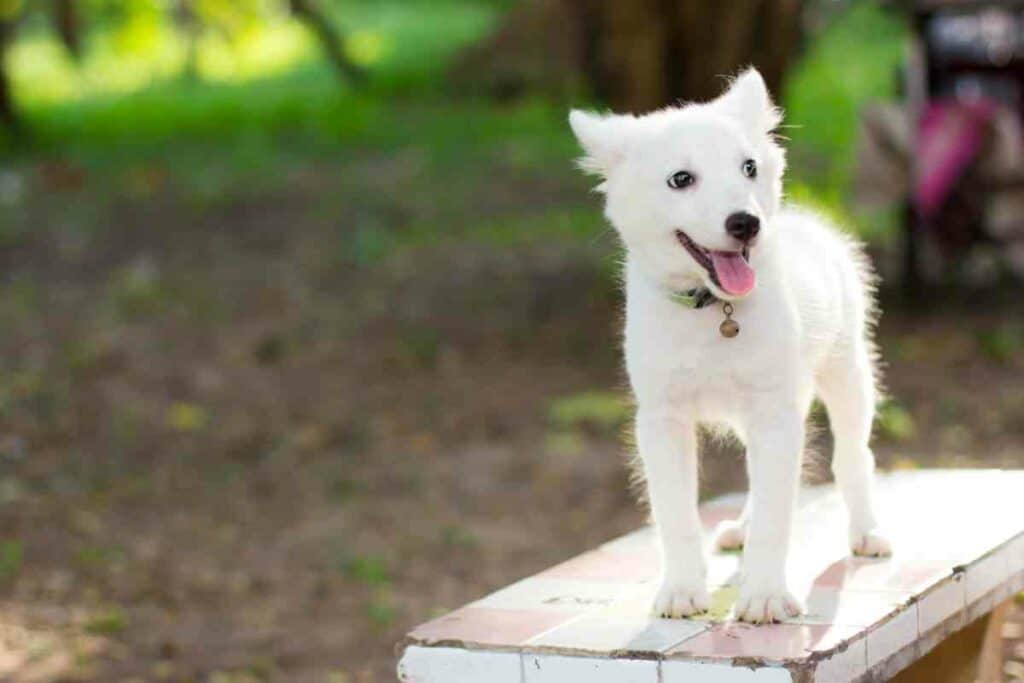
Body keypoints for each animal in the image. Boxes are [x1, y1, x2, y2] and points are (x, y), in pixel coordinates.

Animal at [569, 69, 888, 626]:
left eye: (749, 167)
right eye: (681, 179)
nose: (746, 223)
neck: (711, 308)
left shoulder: (774, 413)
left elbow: (779, 516)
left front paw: (764, 596)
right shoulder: (663, 420)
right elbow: (675, 513)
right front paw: (681, 589)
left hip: (847, 374)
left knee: (853, 456)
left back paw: (865, 531)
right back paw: (742, 526)